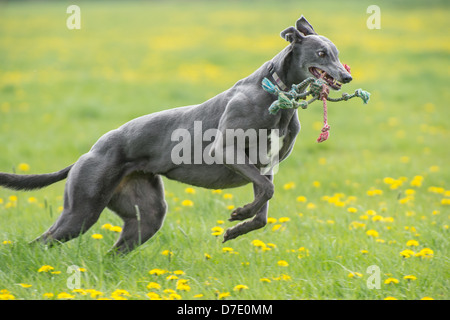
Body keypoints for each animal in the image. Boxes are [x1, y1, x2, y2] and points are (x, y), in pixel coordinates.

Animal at [0, 16, 352, 254]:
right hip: (81, 210)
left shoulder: (265, 165)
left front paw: (237, 228)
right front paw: (239, 213)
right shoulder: (225, 150)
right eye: (322, 54)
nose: (347, 77)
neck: (275, 90)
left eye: (336, 53)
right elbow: (266, 191)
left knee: (115, 250)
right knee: (41, 242)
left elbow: (264, 206)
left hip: (147, 215)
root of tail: (86, 154)